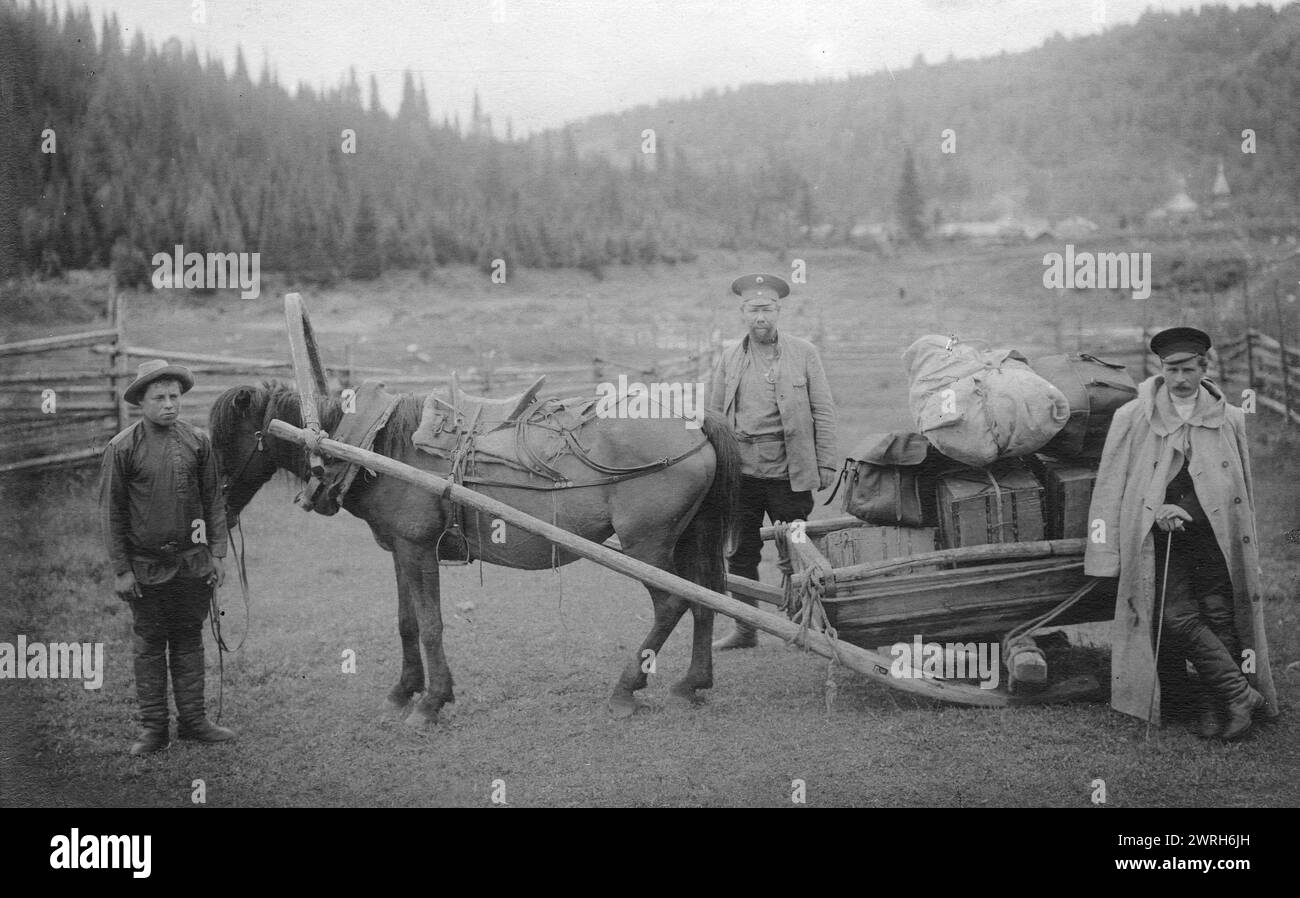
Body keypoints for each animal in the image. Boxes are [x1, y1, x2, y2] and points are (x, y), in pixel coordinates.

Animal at [210, 379, 743, 722]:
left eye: (223, 439)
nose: (218, 508)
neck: (376, 446)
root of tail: (694, 422)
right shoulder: (400, 549)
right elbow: (406, 622)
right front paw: (403, 691)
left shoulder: (419, 549)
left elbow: (430, 625)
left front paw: (431, 703)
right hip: (687, 538)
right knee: (705, 600)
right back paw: (692, 683)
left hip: (645, 546)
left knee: (672, 604)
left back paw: (625, 690)